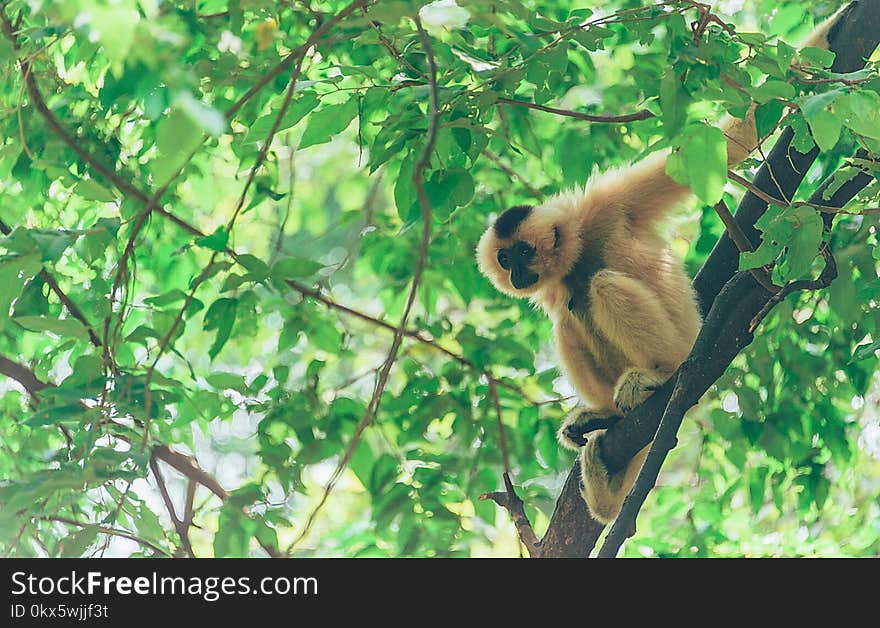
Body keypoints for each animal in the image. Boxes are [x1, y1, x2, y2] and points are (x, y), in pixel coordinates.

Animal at [470, 9, 844, 524]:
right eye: (505, 259)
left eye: (523, 252)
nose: (514, 272)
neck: (577, 249)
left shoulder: (611, 202)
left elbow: (734, 139)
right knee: (568, 316)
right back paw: (607, 416)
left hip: (686, 347)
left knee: (599, 287)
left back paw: (658, 374)